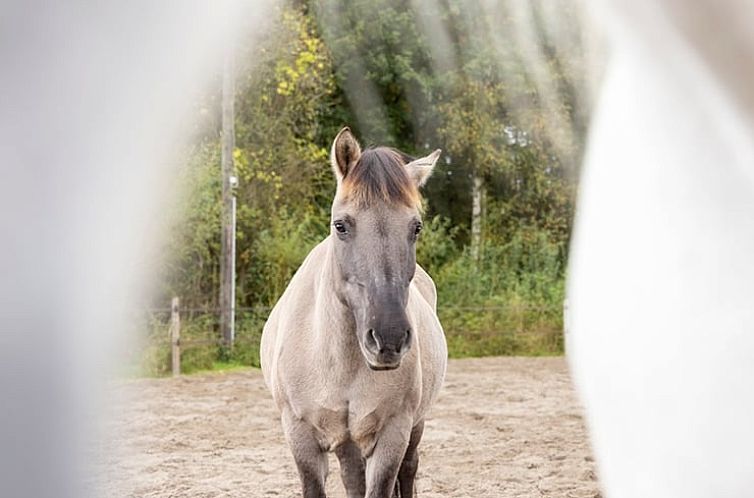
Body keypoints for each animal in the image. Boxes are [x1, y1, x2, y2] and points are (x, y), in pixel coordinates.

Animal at [260, 128, 446, 498]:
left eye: (416, 227)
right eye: (341, 225)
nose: (388, 338)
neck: (339, 360)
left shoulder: (392, 434)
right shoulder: (301, 436)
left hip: (414, 425)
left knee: (409, 469)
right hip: (346, 441)